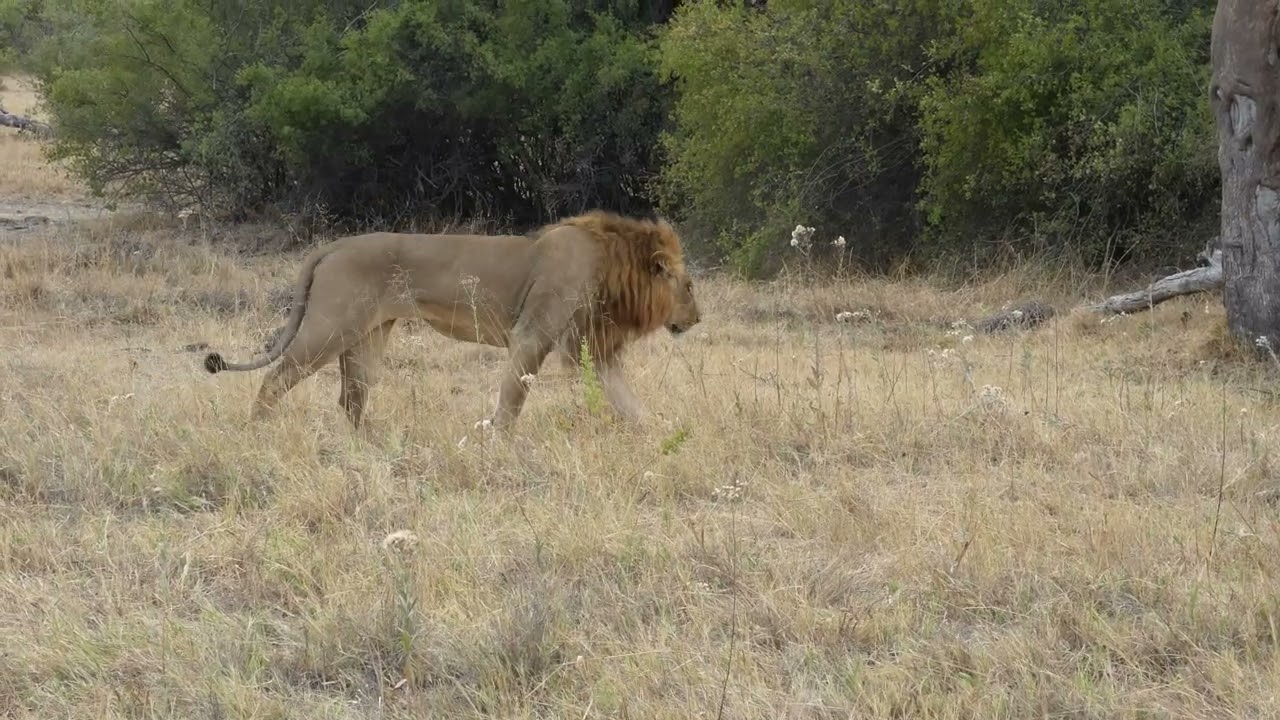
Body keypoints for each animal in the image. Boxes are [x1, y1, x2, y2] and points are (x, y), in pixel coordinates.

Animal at [202, 210, 702, 431]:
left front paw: (658, 432)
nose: (698, 319)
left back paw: (362, 444)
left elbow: (626, 400)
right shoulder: (532, 333)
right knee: (275, 379)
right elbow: (513, 395)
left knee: (349, 399)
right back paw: (258, 433)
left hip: (368, 337)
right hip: (328, 329)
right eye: (691, 285)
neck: (612, 265)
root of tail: (332, 246)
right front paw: (497, 439)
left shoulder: (594, 347)